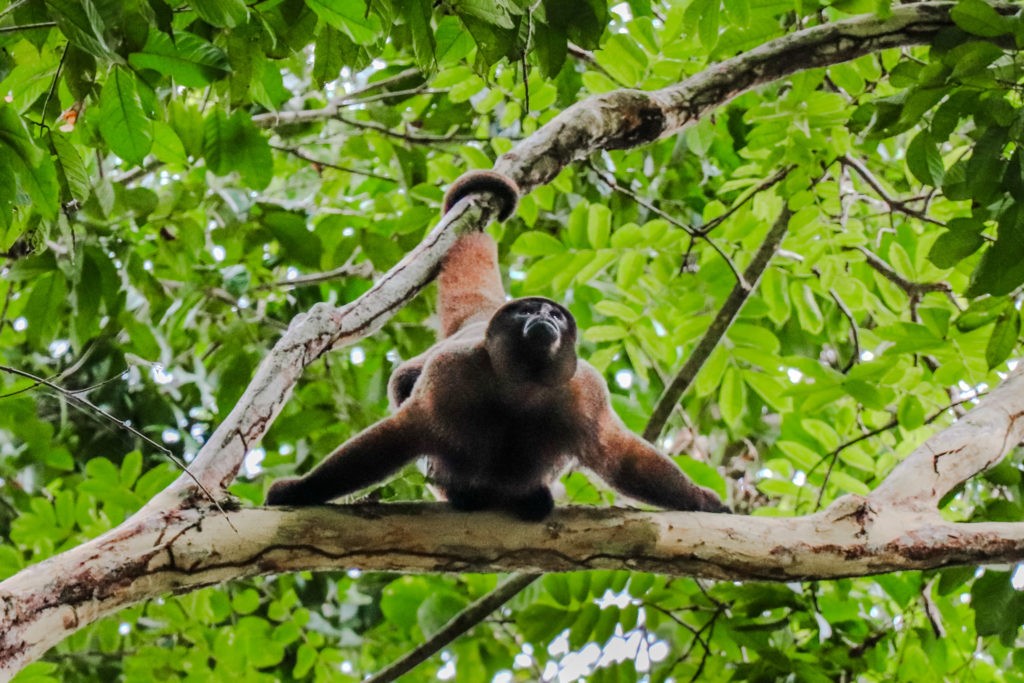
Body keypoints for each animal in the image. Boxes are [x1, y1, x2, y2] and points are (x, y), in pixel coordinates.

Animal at [264, 169, 729, 518]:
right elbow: (401, 434)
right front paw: (301, 491)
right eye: (529, 311)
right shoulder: (451, 373)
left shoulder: (586, 392)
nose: (544, 317)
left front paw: (701, 500)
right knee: (404, 382)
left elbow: (621, 456)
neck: (520, 383)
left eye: (556, 315)